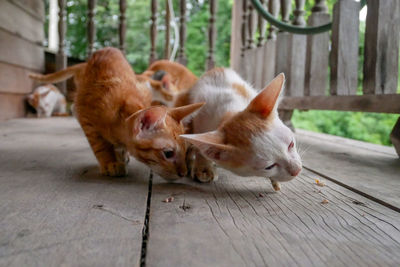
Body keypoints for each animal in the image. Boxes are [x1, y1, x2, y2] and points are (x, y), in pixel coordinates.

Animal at [28, 47, 203, 180]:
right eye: (168, 154)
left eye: (186, 150)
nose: (184, 173)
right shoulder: (86, 118)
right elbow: (99, 144)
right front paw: (109, 162)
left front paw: (120, 155)